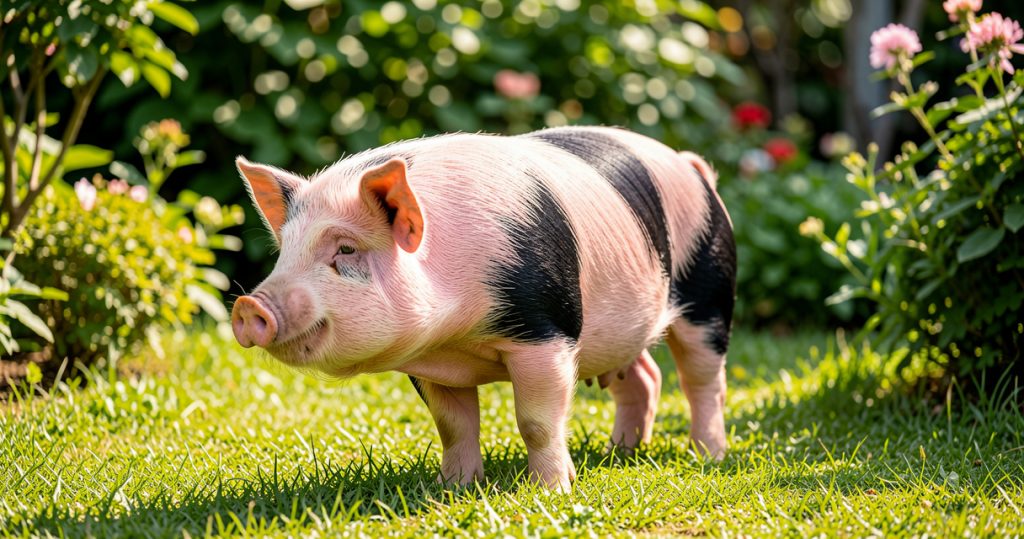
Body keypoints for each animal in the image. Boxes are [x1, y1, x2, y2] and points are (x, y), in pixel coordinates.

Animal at [231, 126, 736, 491]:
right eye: (284, 252)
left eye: (346, 249)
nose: (249, 306)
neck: (459, 332)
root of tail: (692, 166)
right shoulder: (431, 364)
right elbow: (453, 426)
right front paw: (452, 488)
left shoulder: (547, 331)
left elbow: (536, 422)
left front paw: (551, 491)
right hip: (620, 332)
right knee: (646, 377)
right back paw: (621, 453)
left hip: (710, 291)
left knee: (703, 380)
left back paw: (707, 455)